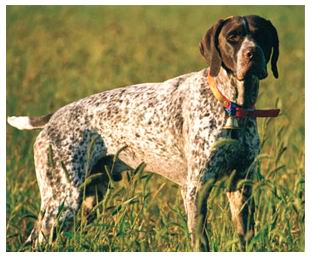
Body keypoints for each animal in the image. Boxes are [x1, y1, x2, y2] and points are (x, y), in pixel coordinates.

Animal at [7, 14, 278, 252]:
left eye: (261, 35)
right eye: (233, 37)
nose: (253, 53)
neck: (232, 105)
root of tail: (53, 117)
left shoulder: (241, 184)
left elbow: (245, 237)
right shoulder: (196, 188)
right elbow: (200, 242)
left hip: (89, 199)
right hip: (62, 201)